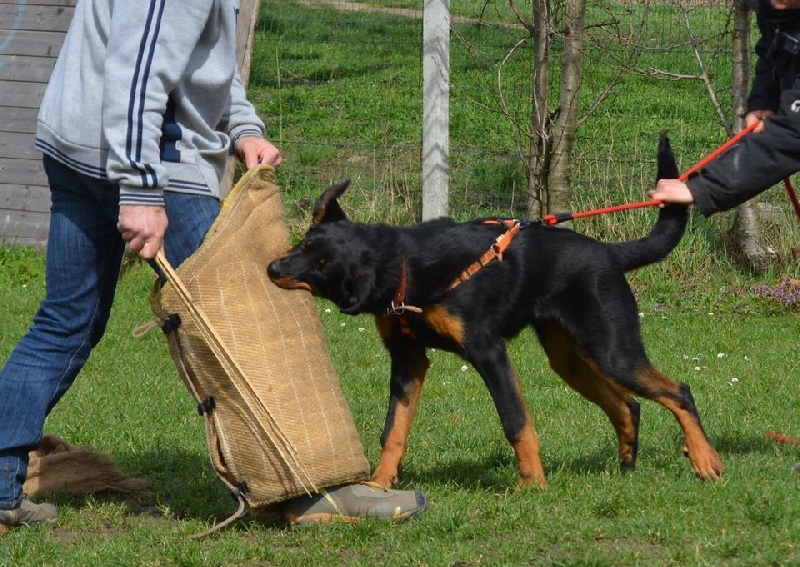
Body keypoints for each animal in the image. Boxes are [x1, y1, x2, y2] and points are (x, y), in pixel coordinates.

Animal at [268, 136, 724, 488]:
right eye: (306, 243)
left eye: (323, 267)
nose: (272, 268)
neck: (405, 267)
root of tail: (610, 253)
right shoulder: (407, 359)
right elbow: (392, 430)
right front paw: (380, 485)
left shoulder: (489, 353)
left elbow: (515, 421)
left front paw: (532, 484)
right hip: (570, 359)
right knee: (628, 406)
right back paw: (627, 465)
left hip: (612, 350)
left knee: (678, 391)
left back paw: (705, 458)